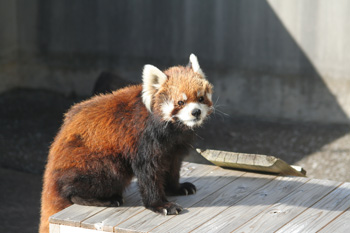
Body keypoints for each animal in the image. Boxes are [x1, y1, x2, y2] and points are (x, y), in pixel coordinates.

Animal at [38, 53, 213, 232]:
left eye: (200, 98)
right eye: (180, 102)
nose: (196, 112)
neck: (172, 130)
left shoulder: (175, 147)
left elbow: (173, 167)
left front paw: (176, 188)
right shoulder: (143, 140)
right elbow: (148, 173)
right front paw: (161, 205)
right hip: (94, 162)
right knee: (83, 184)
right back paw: (102, 199)